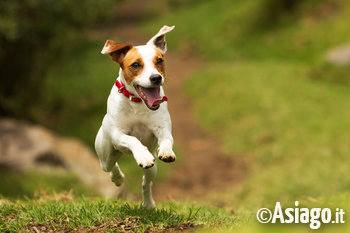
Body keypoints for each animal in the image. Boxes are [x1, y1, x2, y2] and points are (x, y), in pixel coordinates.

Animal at [94, 25, 176, 209]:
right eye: (136, 65)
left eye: (159, 61)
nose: (156, 78)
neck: (138, 103)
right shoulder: (118, 134)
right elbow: (132, 139)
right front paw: (142, 154)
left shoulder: (162, 128)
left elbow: (167, 139)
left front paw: (167, 151)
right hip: (105, 154)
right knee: (110, 166)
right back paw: (117, 178)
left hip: (152, 169)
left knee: (146, 182)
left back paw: (148, 203)